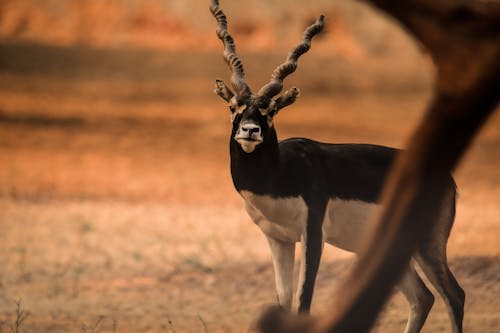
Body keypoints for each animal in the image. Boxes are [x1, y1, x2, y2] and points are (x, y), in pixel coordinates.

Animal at [208, 1, 464, 330]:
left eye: (271, 110)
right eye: (233, 108)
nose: (249, 130)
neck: (281, 172)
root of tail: (448, 180)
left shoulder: (313, 233)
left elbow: (303, 301)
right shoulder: (277, 239)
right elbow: (283, 302)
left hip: (426, 244)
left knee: (454, 296)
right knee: (422, 297)